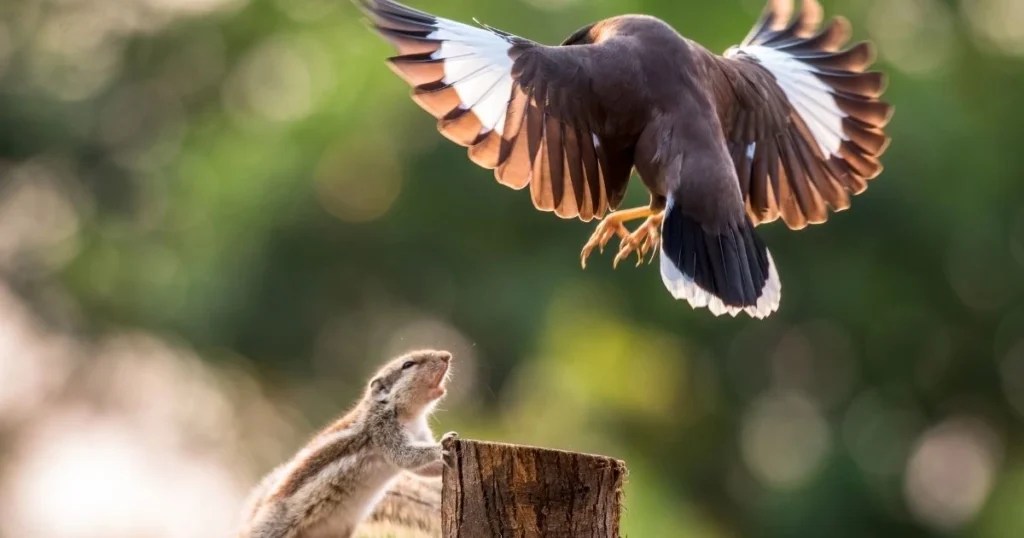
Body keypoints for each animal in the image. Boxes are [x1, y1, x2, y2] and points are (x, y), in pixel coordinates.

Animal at [238, 349, 456, 538]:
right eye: (408, 364)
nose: (447, 355)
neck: (410, 417)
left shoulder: (420, 433)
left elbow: (422, 469)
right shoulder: (382, 430)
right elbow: (404, 456)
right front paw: (440, 449)